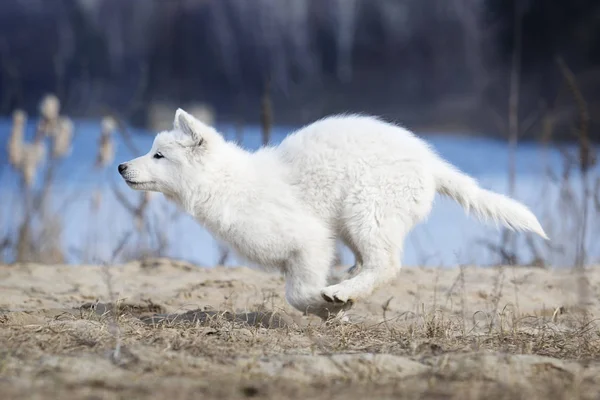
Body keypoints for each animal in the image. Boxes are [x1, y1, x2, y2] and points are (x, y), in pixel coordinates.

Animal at [118, 108, 548, 318]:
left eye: (159, 156)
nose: (121, 167)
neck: (228, 183)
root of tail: (430, 164)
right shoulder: (313, 245)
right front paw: (333, 309)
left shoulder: (309, 241)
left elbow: (296, 293)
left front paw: (326, 307)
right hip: (353, 221)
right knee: (369, 261)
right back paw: (348, 286)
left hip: (367, 208)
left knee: (386, 263)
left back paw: (343, 291)